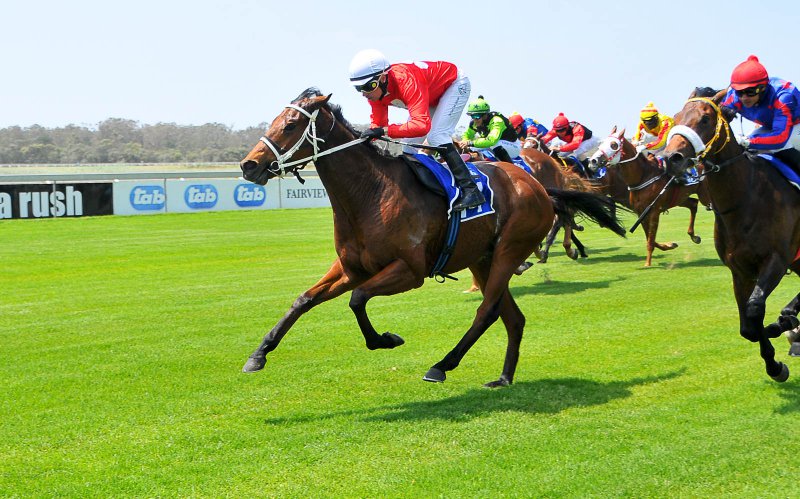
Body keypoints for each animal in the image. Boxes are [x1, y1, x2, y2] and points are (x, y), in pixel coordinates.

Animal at [239, 89, 632, 386]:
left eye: (290, 125)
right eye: (273, 121)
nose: (248, 165)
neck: (371, 193)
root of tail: (538, 187)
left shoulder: (410, 271)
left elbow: (358, 299)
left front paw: (386, 339)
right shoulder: (352, 268)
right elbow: (303, 300)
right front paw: (258, 355)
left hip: (509, 250)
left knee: (487, 311)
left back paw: (442, 365)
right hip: (482, 259)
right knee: (512, 317)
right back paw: (504, 377)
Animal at [588, 129, 712, 268]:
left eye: (613, 145)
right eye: (602, 143)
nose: (593, 161)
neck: (642, 177)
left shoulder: (654, 211)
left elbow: (651, 239)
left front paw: (647, 263)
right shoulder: (640, 212)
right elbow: (649, 237)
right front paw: (669, 245)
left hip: (705, 196)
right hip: (680, 199)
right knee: (693, 203)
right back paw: (694, 236)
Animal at [664, 89, 800, 382]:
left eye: (705, 119)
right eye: (676, 118)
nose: (671, 158)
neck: (745, 198)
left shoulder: (776, 259)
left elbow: (754, 308)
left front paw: (777, 359)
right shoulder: (739, 270)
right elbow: (748, 327)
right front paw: (775, 349)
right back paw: (787, 318)